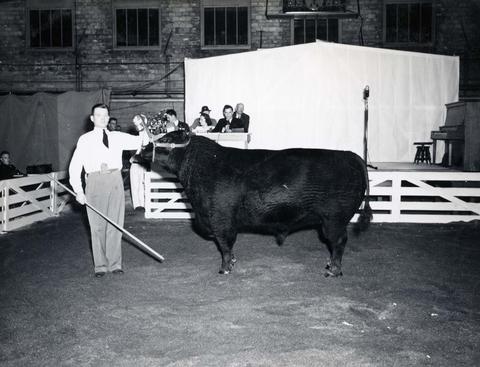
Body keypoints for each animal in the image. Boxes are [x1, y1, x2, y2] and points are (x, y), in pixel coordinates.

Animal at [139, 131, 372, 278]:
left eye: (166, 138)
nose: (142, 149)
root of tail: (350, 155)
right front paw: (231, 263)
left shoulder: (221, 220)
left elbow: (225, 245)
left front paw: (225, 269)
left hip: (334, 219)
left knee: (339, 241)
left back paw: (333, 270)